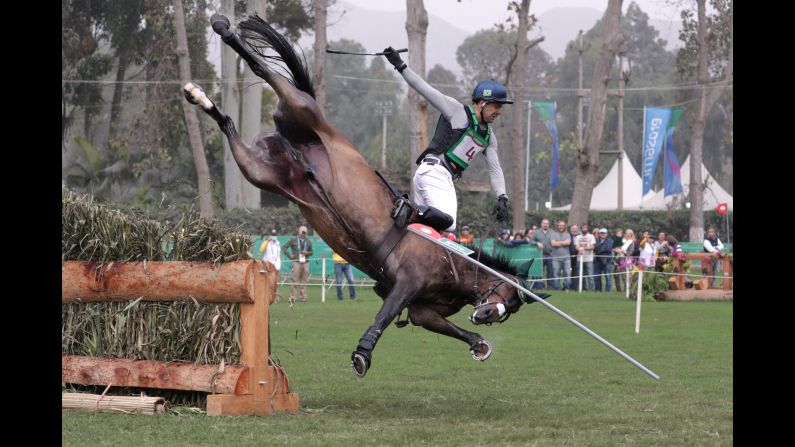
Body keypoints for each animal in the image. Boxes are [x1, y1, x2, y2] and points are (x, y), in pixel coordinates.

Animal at [183, 13, 552, 378]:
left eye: (511, 308)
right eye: (508, 293)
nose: (486, 316)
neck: (454, 264)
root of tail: (295, 147)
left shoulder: (422, 310)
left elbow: (445, 327)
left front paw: (479, 344)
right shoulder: (405, 283)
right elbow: (384, 316)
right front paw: (363, 355)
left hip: (262, 172)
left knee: (230, 126)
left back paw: (199, 96)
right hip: (302, 110)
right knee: (268, 74)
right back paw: (223, 29)